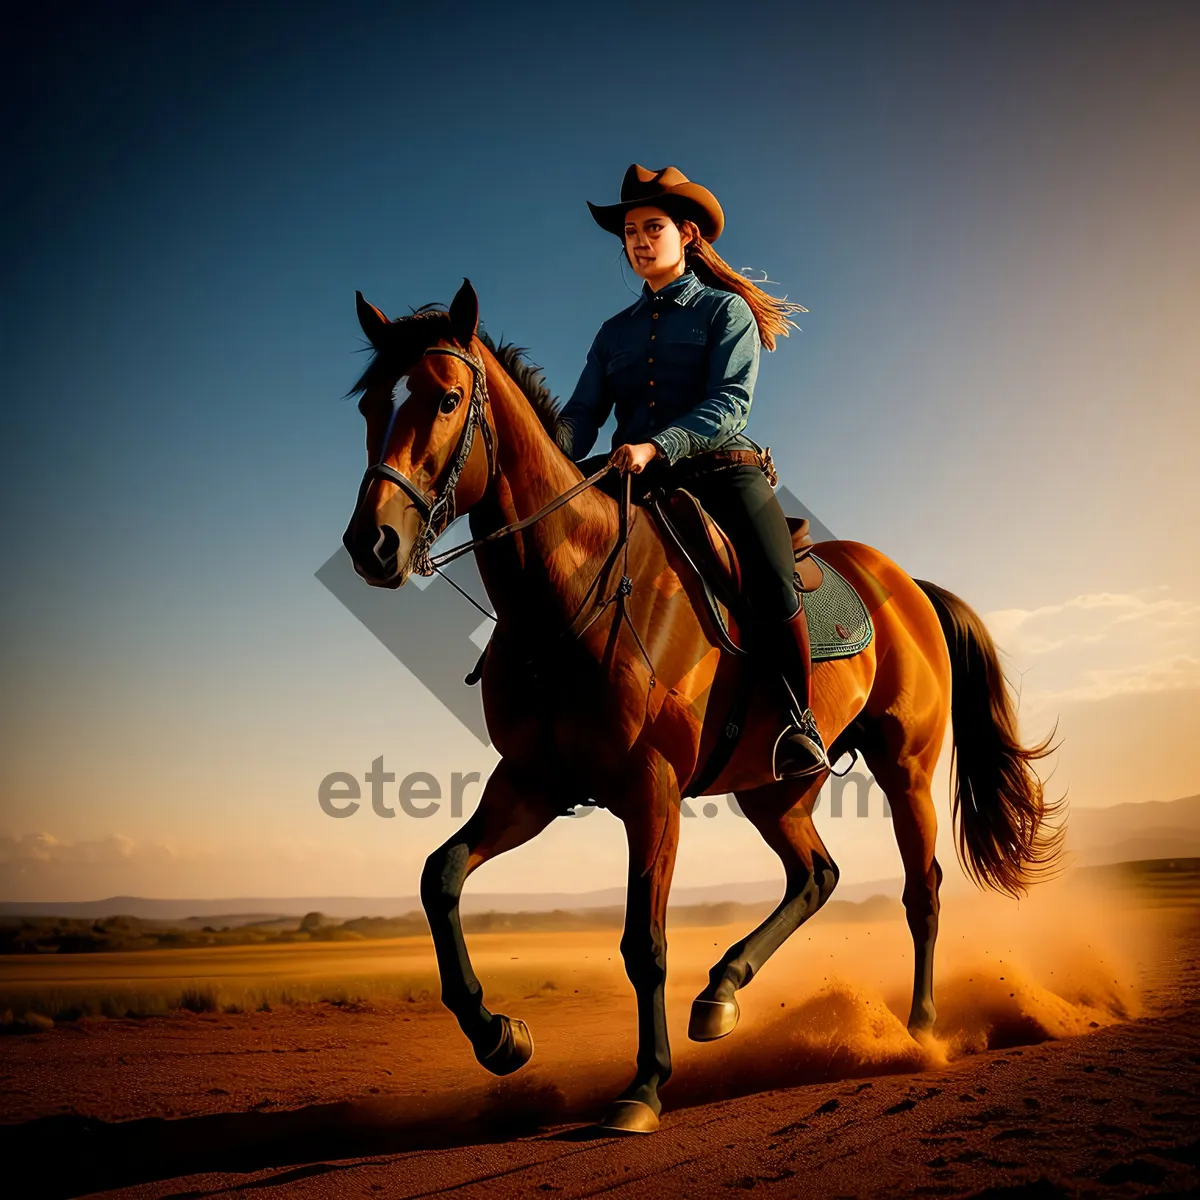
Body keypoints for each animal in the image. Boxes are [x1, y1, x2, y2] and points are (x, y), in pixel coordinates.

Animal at [343, 280, 1065, 1132]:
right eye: (371, 405)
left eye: (448, 397)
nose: (373, 545)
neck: (571, 597)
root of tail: (910, 586)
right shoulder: (532, 784)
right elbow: (441, 876)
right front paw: (499, 1036)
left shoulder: (650, 792)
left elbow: (643, 942)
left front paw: (645, 1087)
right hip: (776, 788)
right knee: (817, 875)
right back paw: (722, 993)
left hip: (905, 768)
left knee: (921, 891)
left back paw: (920, 1032)